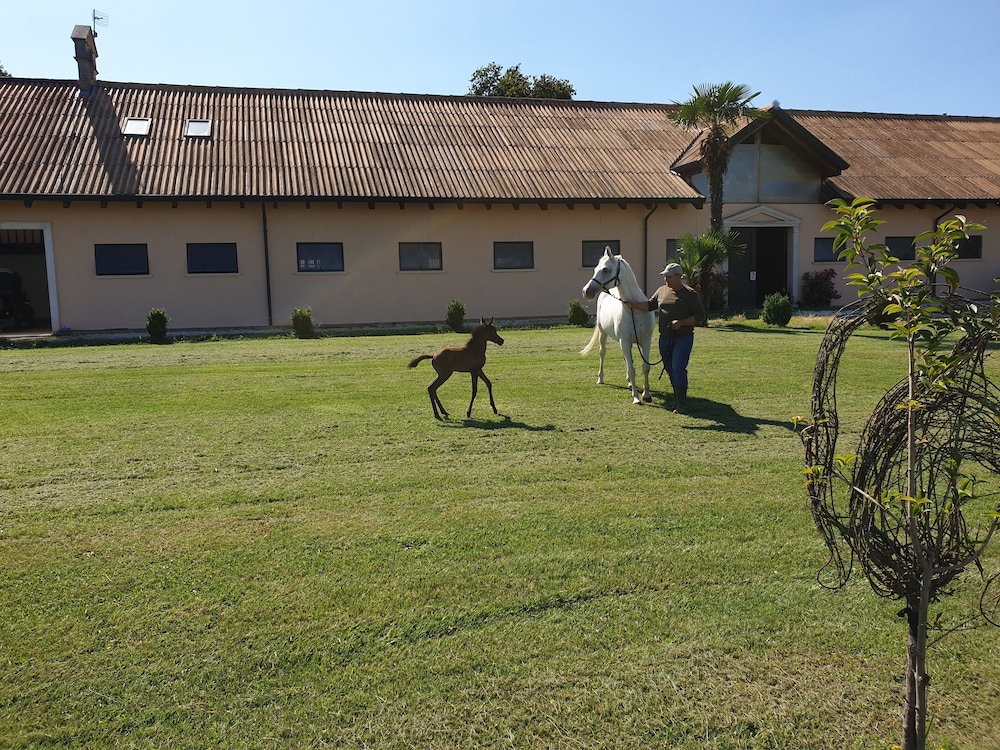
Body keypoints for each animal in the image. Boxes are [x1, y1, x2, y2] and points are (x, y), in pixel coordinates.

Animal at [580, 248, 655, 405]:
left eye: (605, 269)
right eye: (595, 269)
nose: (586, 291)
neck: (635, 310)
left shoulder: (645, 341)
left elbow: (645, 367)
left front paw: (646, 394)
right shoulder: (625, 342)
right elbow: (632, 370)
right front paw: (636, 398)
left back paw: (629, 383)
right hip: (603, 334)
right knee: (602, 353)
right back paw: (601, 378)